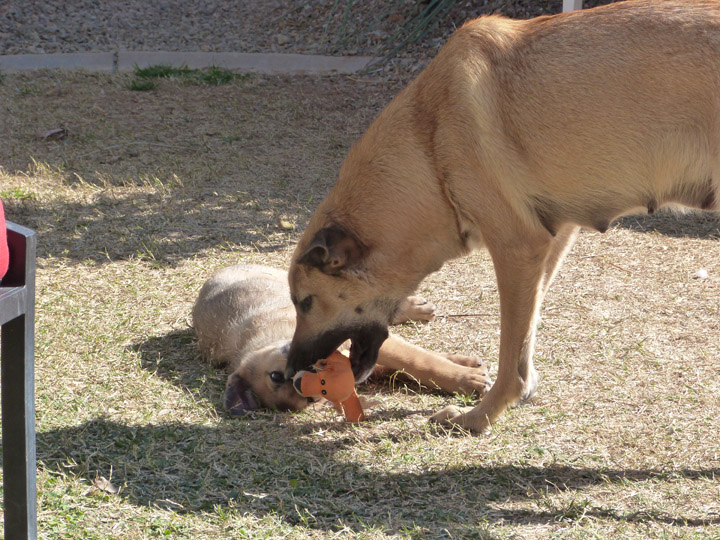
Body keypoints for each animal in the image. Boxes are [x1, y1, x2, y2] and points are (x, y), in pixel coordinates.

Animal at [191, 262, 490, 414]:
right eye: (312, 399)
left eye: (275, 375)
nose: (301, 381)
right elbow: (408, 368)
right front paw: (468, 372)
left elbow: (421, 361)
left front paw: (465, 377)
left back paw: (415, 307)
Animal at [286, 0, 720, 430]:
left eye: (305, 303)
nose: (290, 371)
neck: (429, 145)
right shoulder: (551, 241)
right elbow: (527, 337)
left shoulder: (516, 249)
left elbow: (511, 356)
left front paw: (478, 416)